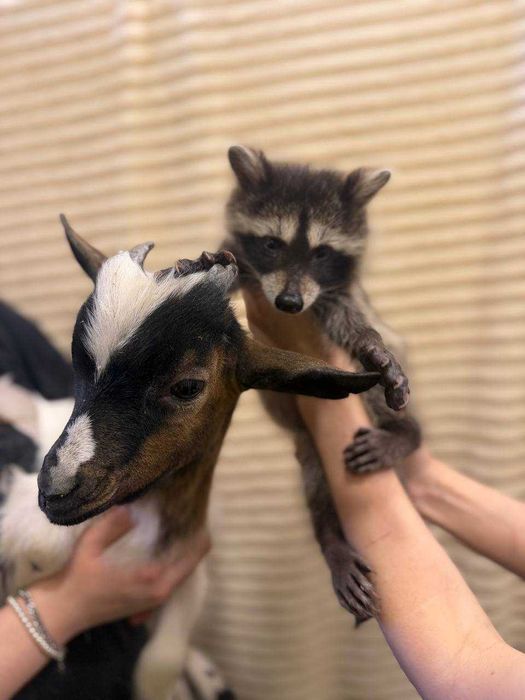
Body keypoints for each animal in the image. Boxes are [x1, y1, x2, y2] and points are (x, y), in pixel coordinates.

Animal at [0, 217, 380, 700]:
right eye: (79, 364)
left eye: (186, 386)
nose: (56, 490)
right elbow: (37, 546)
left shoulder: (186, 578)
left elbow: (162, 660)